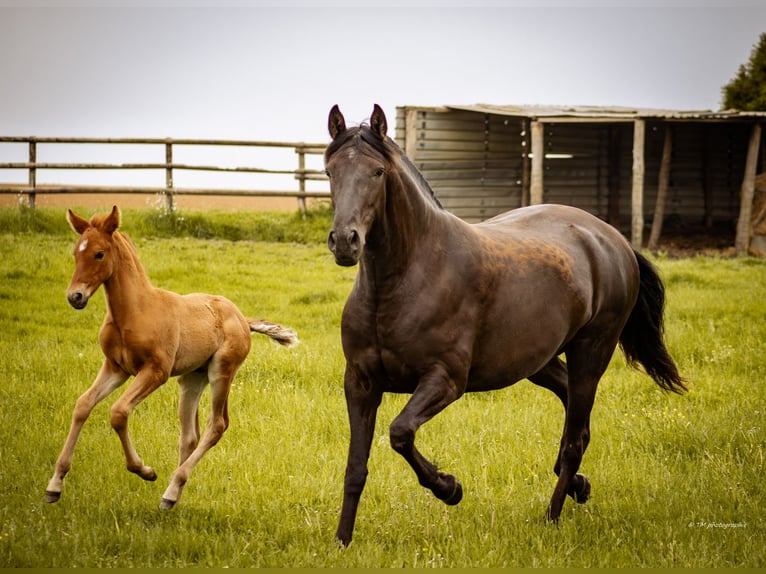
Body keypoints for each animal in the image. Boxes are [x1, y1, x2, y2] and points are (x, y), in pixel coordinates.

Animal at [328, 104, 688, 548]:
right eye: (330, 171)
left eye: (377, 172)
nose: (345, 241)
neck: (410, 275)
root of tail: (611, 238)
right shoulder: (360, 384)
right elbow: (355, 468)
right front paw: (342, 541)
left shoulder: (446, 380)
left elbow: (400, 433)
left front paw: (450, 487)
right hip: (539, 362)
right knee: (573, 414)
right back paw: (578, 485)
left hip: (593, 351)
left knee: (575, 436)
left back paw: (552, 516)